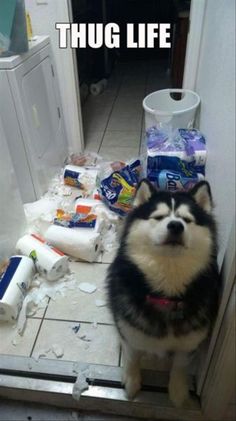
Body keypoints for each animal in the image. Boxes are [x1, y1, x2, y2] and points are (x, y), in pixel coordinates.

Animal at [107, 179, 221, 406]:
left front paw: (178, 390)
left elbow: (180, 365)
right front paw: (132, 380)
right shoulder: (128, 332)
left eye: (187, 219)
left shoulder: (189, 342)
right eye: (159, 217)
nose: (176, 225)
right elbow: (132, 357)